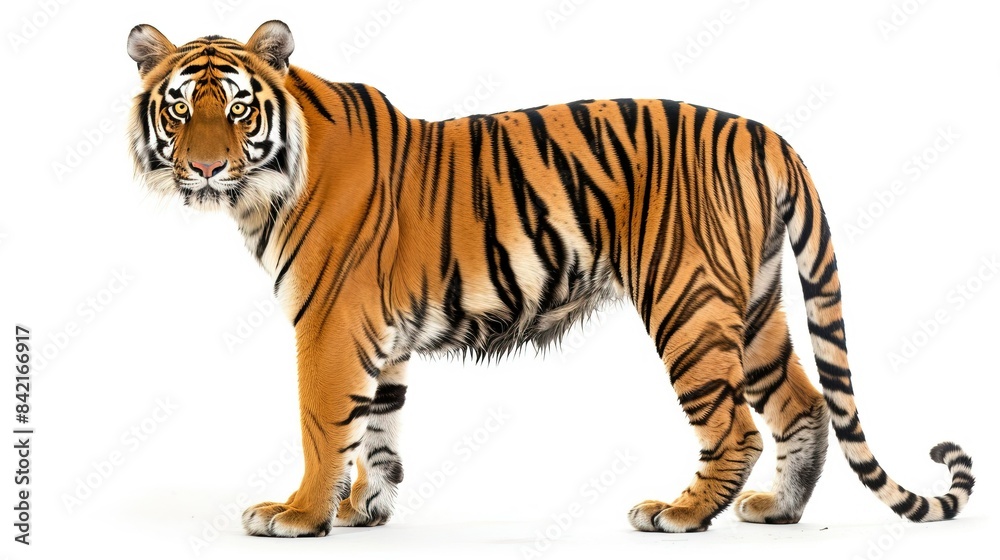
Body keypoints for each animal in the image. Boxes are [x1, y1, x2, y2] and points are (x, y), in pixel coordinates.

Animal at [126, 20, 974, 537]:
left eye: (238, 110)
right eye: (180, 110)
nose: (207, 167)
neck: (264, 185)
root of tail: (768, 134)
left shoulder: (330, 323)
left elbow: (321, 422)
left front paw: (300, 514)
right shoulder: (381, 334)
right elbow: (379, 427)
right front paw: (368, 505)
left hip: (689, 303)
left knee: (733, 423)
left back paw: (678, 512)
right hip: (757, 304)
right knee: (803, 405)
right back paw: (777, 511)